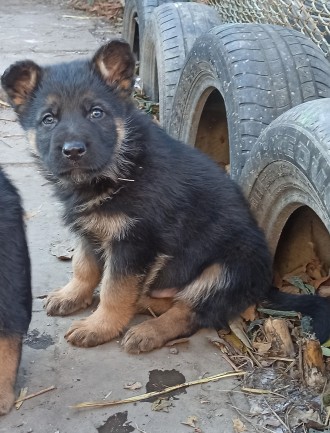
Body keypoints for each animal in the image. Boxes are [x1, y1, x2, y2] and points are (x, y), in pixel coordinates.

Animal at [2, 38, 330, 352]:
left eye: (96, 113)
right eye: (48, 119)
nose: (72, 151)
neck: (122, 164)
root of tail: (265, 286)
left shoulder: (134, 242)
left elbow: (114, 289)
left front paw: (99, 326)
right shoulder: (90, 229)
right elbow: (83, 266)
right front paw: (71, 296)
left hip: (227, 269)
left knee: (189, 313)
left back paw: (148, 331)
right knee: (175, 300)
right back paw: (144, 302)